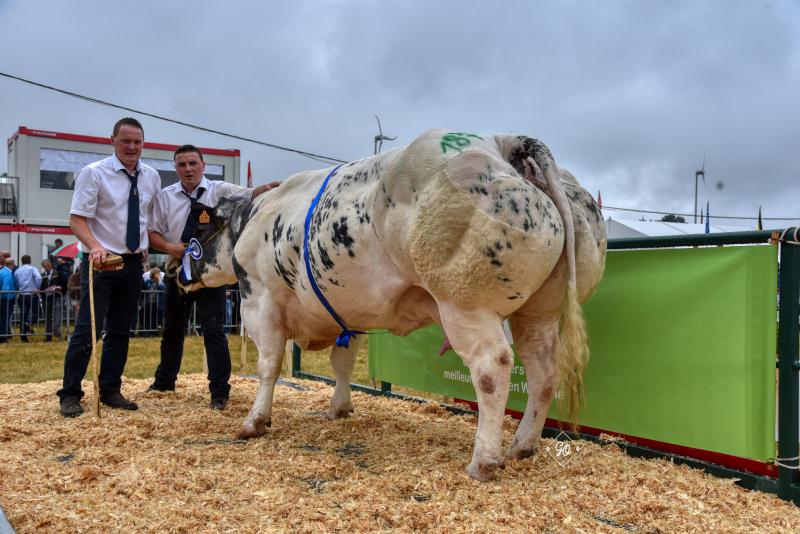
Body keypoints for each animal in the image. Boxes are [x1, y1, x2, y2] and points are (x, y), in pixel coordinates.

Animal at [183, 129, 608, 482]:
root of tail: (502, 142)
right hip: (537, 313)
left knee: (493, 369)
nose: (175, 269)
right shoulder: (347, 311)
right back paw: (522, 446)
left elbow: (268, 366)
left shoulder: (259, 300)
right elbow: (343, 362)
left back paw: (484, 461)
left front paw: (254, 422)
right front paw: (338, 408)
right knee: (543, 373)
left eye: (200, 228)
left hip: (465, 303)